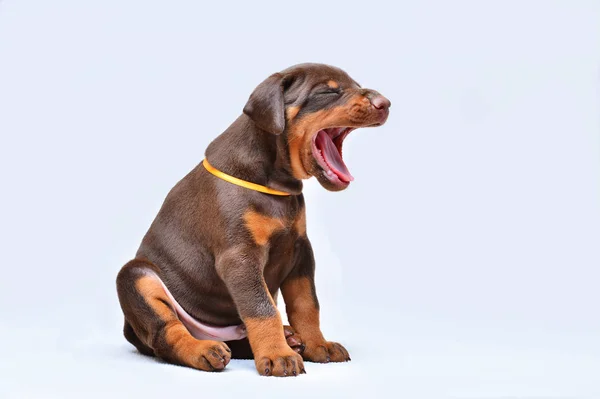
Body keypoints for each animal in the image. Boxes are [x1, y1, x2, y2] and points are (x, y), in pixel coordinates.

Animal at [115, 63, 392, 378]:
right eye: (328, 91)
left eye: (356, 85)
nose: (385, 103)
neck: (277, 185)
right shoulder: (240, 257)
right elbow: (262, 308)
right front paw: (277, 356)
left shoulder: (300, 250)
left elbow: (306, 303)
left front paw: (316, 344)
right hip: (135, 277)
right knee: (166, 332)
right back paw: (204, 350)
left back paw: (290, 338)